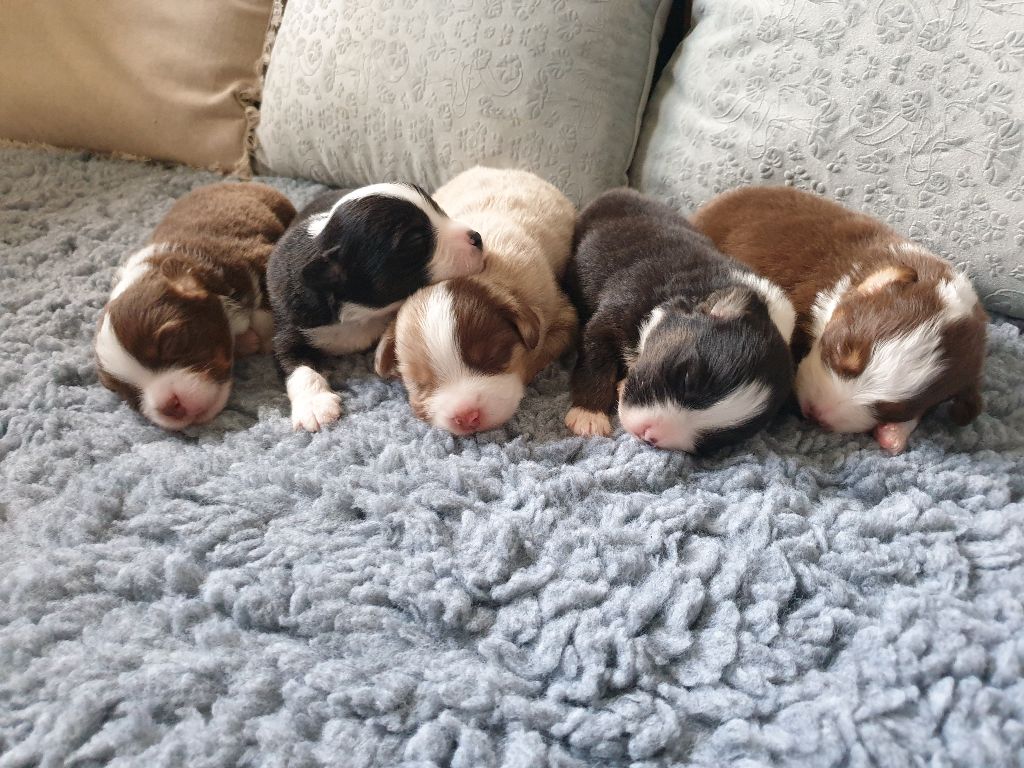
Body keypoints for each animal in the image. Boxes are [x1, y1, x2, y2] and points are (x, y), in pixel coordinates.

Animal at [95, 182, 295, 430]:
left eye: (173, 343)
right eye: (126, 392)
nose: (170, 405)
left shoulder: (261, 258)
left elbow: (267, 305)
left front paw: (264, 338)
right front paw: (246, 342)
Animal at [266, 183, 485, 431]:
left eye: (440, 210)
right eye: (415, 241)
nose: (477, 237)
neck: (361, 313)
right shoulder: (290, 324)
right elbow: (298, 365)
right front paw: (314, 404)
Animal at [564, 188, 795, 453]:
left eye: (719, 439)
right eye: (686, 377)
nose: (648, 434)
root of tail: (618, 191)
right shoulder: (613, 316)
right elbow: (596, 361)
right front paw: (588, 415)